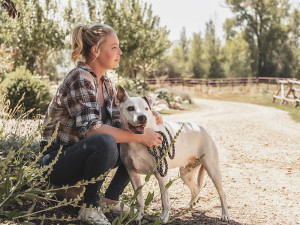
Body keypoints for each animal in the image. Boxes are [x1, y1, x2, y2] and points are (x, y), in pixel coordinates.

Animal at [116, 85, 230, 222]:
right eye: (130, 108)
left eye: (146, 108)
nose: (143, 117)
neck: (138, 141)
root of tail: (202, 128)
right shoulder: (133, 175)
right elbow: (139, 199)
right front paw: (138, 216)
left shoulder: (161, 175)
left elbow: (165, 200)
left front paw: (163, 217)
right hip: (186, 173)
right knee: (195, 190)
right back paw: (188, 208)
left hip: (213, 169)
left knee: (222, 193)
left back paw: (225, 214)